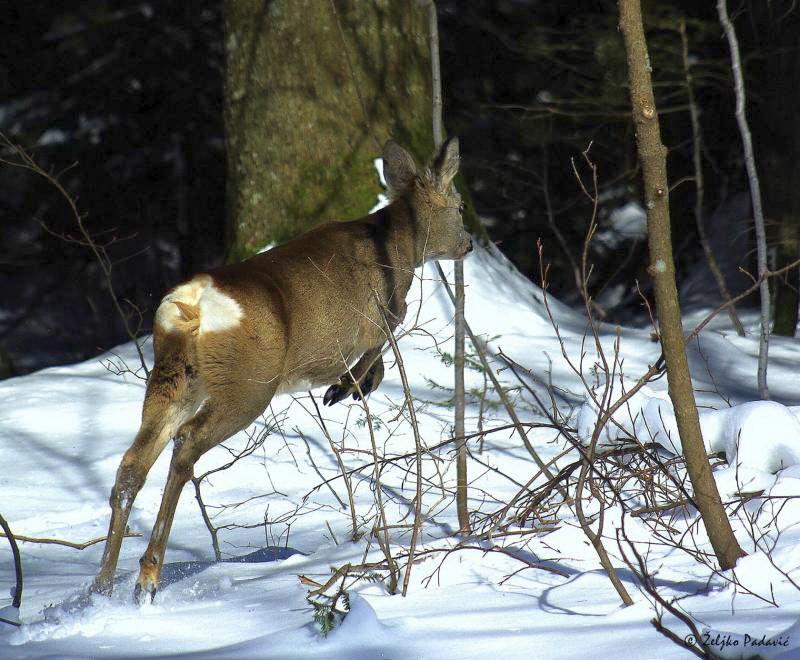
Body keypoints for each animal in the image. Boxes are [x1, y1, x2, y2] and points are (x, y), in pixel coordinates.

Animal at [91, 137, 472, 600]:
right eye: (459, 207)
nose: (469, 244)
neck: (398, 249)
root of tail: (191, 308)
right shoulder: (381, 316)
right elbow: (376, 350)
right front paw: (344, 388)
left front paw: (352, 388)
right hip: (249, 382)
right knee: (187, 442)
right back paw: (147, 577)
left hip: (172, 378)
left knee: (133, 464)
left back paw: (101, 585)